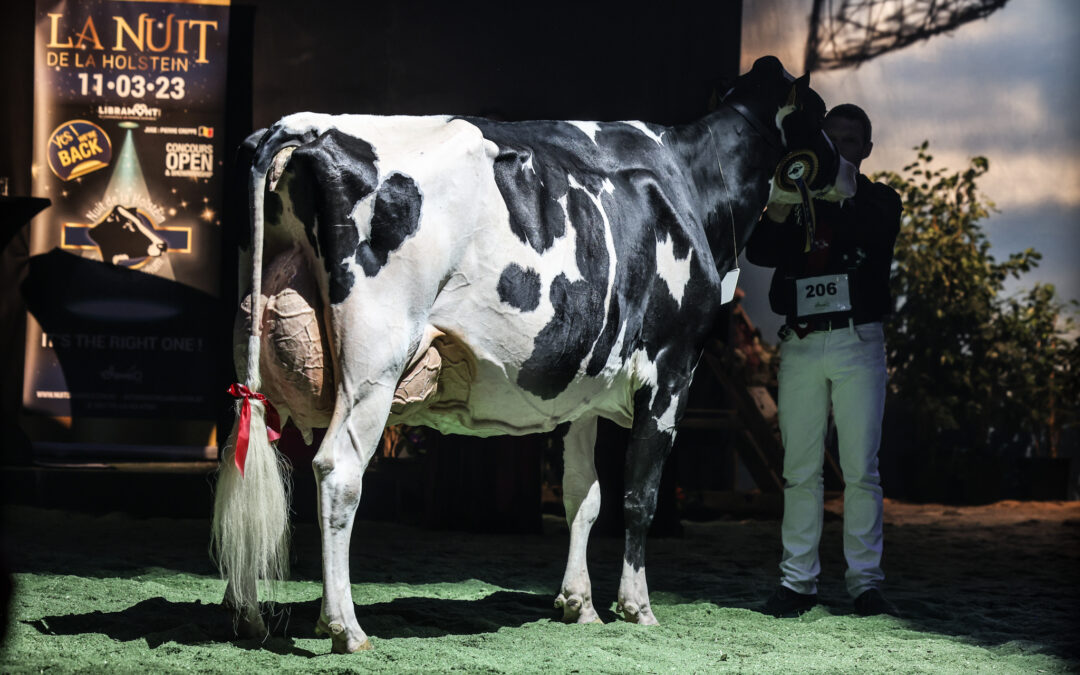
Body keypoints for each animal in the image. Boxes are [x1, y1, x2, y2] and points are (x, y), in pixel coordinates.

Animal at [208, 55, 851, 652]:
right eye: (819, 113)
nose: (849, 171)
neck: (694, 182)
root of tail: (307, 124)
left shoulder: (588, 386)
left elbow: (583, 495)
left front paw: (579, 605)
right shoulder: (673, 368)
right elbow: (638, 496)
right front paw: (637, 607)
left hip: (252, 340)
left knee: (244, 453)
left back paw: (244, 614)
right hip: (375, 359)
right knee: (339, 472)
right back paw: (344, 625)